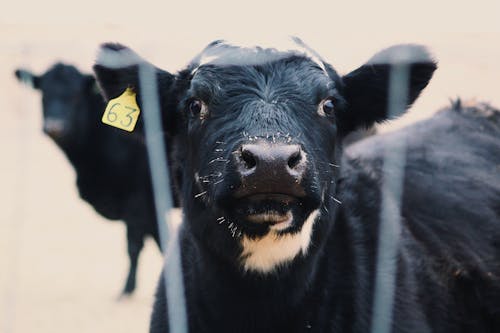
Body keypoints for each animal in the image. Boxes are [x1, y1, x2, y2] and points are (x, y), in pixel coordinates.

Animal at [14, 63, 175, 294]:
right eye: (44, 93)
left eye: (75, 95)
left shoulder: (139, 202)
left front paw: (126, 292)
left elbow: (136, 246)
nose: (54, 127)